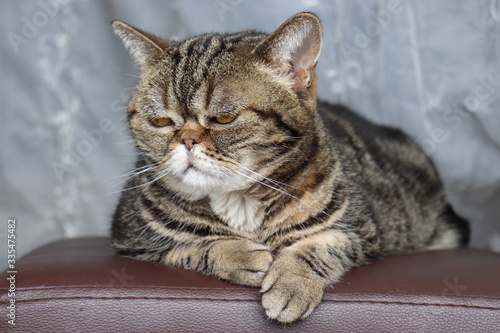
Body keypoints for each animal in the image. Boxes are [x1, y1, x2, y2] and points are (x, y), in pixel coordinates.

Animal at [109, 12, 468, 322]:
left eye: (224, 118)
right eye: (160, 122)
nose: (186, 140)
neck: (239, 201)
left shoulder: (362, 230)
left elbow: (318, 246)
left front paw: (292, 284)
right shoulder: (130, 239)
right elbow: (190, 245)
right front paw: (241, 255)